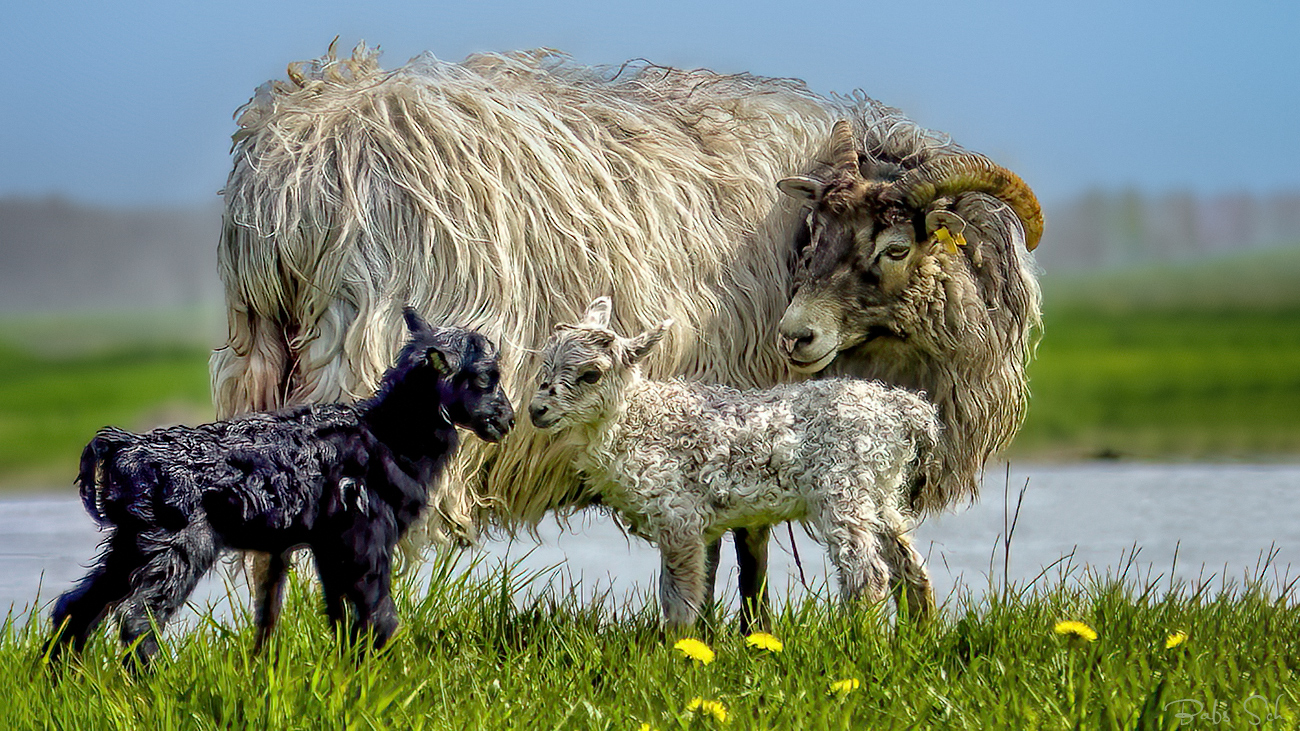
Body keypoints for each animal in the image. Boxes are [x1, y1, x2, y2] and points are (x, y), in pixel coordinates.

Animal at [530, 296, 946, 626]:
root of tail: (903, 408)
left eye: (591, 374)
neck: (641, 420)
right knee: (909, 564)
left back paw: (857, 638)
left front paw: (675, 655)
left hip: (843, 486)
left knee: (867, 573)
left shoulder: (679, 517)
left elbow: (680, 598)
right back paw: (916, 636)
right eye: (544, 366)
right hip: (880, 489)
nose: (537, 410)